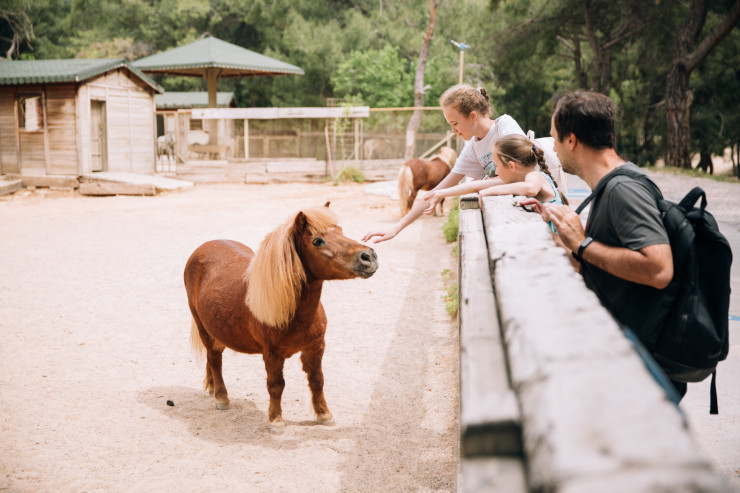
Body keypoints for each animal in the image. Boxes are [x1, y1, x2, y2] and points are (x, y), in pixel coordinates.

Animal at [184, 204, 378, 435]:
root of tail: (203, 249)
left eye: (340, 230)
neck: (294, 312)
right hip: (203, 327)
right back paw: (221, 398)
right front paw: (275, 421)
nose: (369, 256)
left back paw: (212, 387)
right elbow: (276, 386)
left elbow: (317, 380)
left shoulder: (316, 347)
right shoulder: (272, 354)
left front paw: (324, 415)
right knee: (215, 359)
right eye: (317, 241)